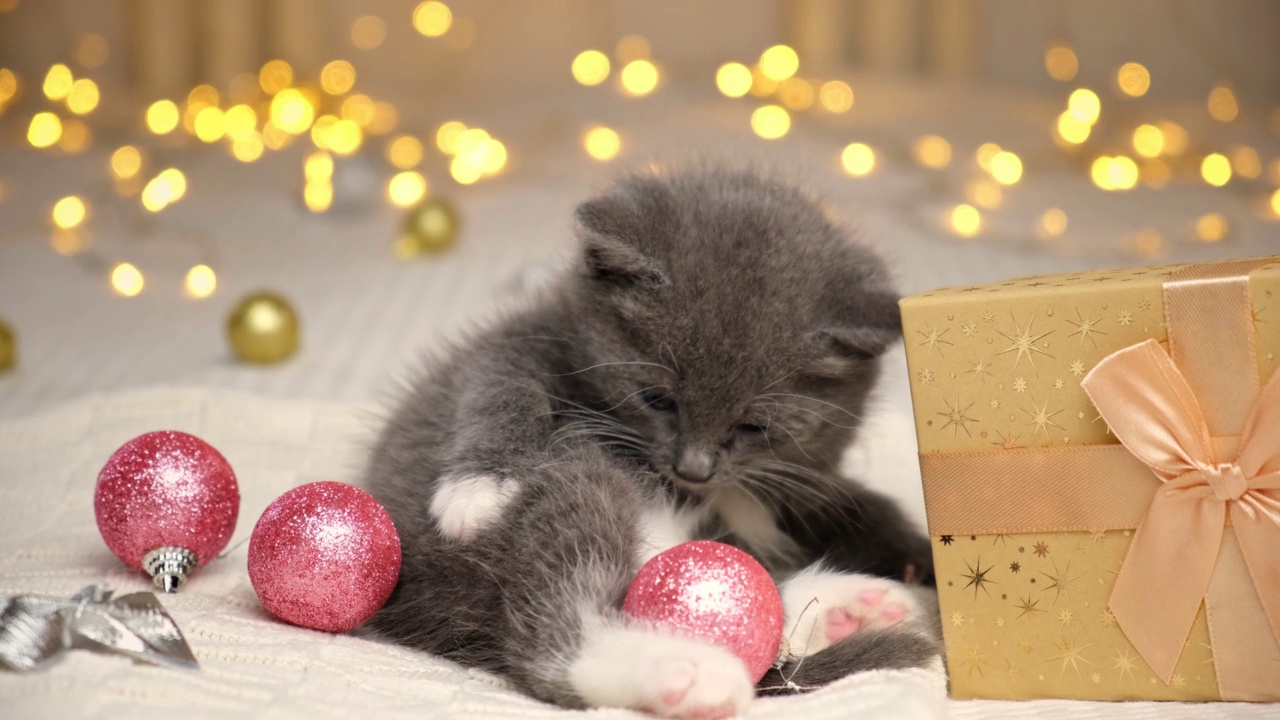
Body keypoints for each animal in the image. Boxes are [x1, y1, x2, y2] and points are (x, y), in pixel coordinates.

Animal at [360, 165, 942, 712]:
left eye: (753, 427)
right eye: (658, 400)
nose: (692, 470)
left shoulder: (800, 476)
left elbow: (857, 506)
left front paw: (926, 561)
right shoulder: (525, 335)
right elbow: (497, 380)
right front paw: (480, 488)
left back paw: (847, 609)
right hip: (568, 482)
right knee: (556, 630)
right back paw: (689, 672)